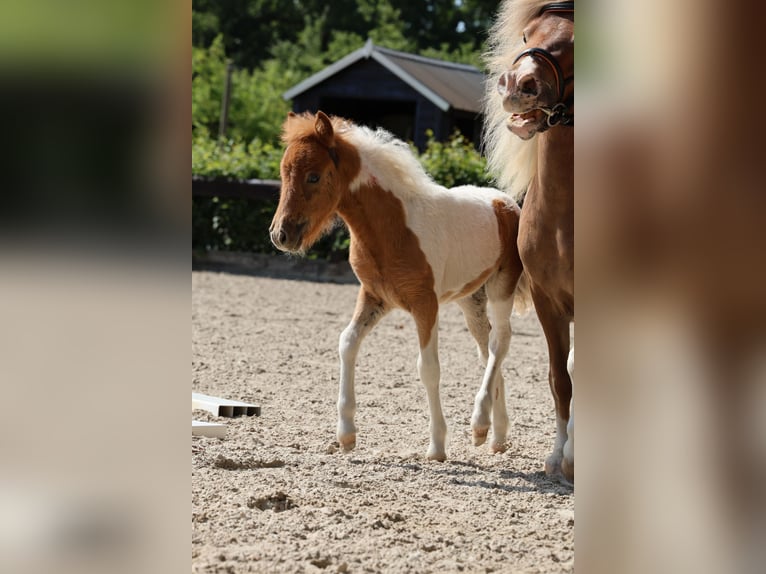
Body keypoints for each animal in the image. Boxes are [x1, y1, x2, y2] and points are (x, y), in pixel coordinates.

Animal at [270, 110, 529, 461]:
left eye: (313, 176)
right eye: (283, 173)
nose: (280, 235)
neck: (393, 227)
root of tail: (507, 202)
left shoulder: (425, 303)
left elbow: (428, 368)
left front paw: (437, 446)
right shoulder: (375, 296)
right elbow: (347, 342)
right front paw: (346, 435)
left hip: (502, 286)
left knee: (500, 341)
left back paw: (479, 425)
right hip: (471, 298)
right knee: (487, 348)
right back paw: (497, 435)